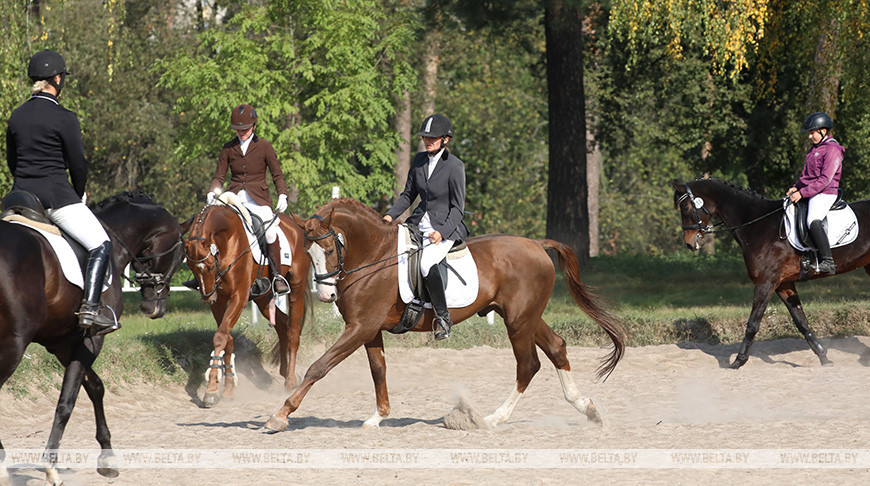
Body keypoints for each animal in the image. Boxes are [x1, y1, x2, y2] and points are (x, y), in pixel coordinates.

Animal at [0, 191, 184, 486]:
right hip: (13, 345)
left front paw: (107, 459)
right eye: (180, 255)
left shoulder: (63, 343)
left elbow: (95, 387)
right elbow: (67, 402)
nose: (154, 308)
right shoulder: (91, 339)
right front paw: (52, 468)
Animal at [182, 196, 312, 406]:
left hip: (297, 287)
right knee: (282, 324)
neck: (228, 240)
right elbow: (226, 338)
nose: (207, 297)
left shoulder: (239, 297)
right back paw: (285, 373)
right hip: (262, 297)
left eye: (210, 266)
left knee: (293, 330)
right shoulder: (220, 302)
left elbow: (220, 337)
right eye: (191, 267)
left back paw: (291, 380)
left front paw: (211, 391)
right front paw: (227, 389)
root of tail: (295, 226)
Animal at [264, 199, 628, 430]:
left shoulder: (360, 327)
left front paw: (281, 414)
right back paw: (587, 409)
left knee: (528, 365)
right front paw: (378, 417)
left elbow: (319, 366)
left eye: (329, 248)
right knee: (556, 348)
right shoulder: (369, 329)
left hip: (518, 321)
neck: (374, 256)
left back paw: (492, 419)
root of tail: (537, 244)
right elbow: (378, 370)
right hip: (526, 317)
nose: (326, 295)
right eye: (308, 252)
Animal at [676, 178, 870, 368]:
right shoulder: (783, 284)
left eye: (685, 208)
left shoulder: (766, 282)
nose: (689, 243)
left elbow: (753, 323)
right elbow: (801, 321)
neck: (758, 225)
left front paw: (739, 360)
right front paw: (824, 358)